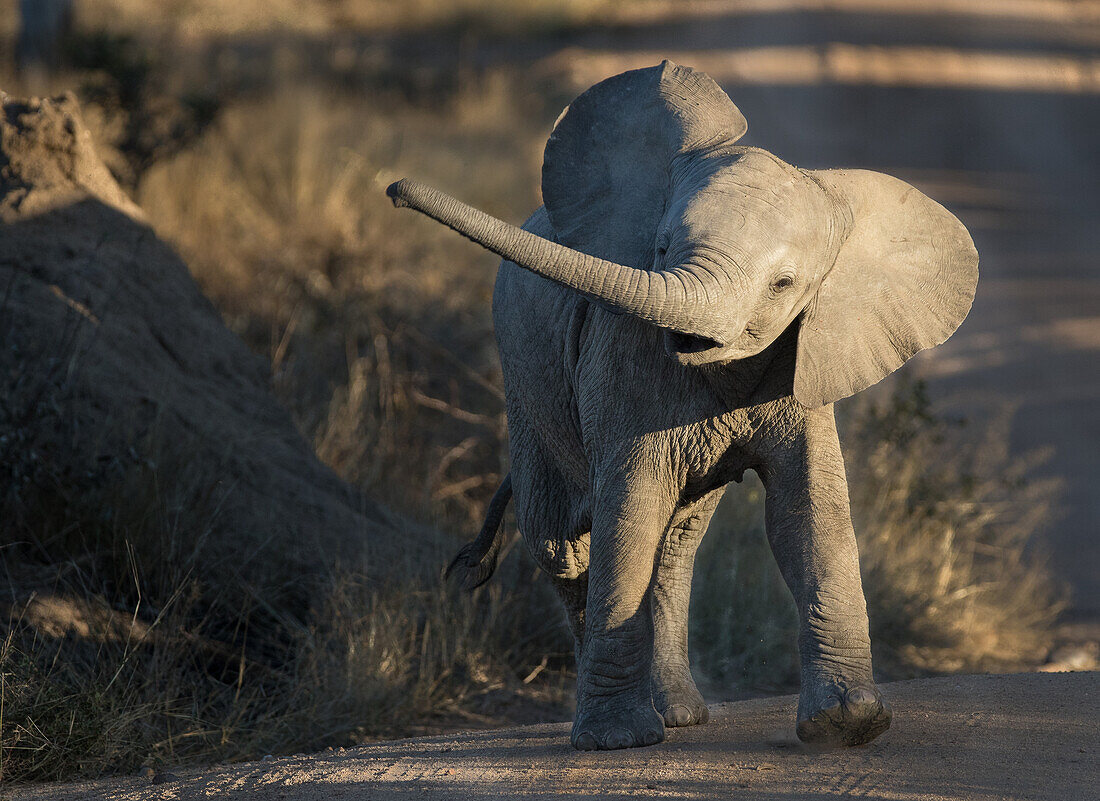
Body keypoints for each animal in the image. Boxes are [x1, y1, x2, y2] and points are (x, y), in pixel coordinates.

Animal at [387, 61, 981, 752]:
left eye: (785, 284)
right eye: (663, 248)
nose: (395, 189)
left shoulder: (805, 361)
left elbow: (809, 512)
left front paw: (847, 727)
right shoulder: (622, 355)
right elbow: (632, 507)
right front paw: (616, 741)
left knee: (675, 546)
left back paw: (677, 715)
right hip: (523, 375)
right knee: (565, 542)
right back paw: (629, 718)